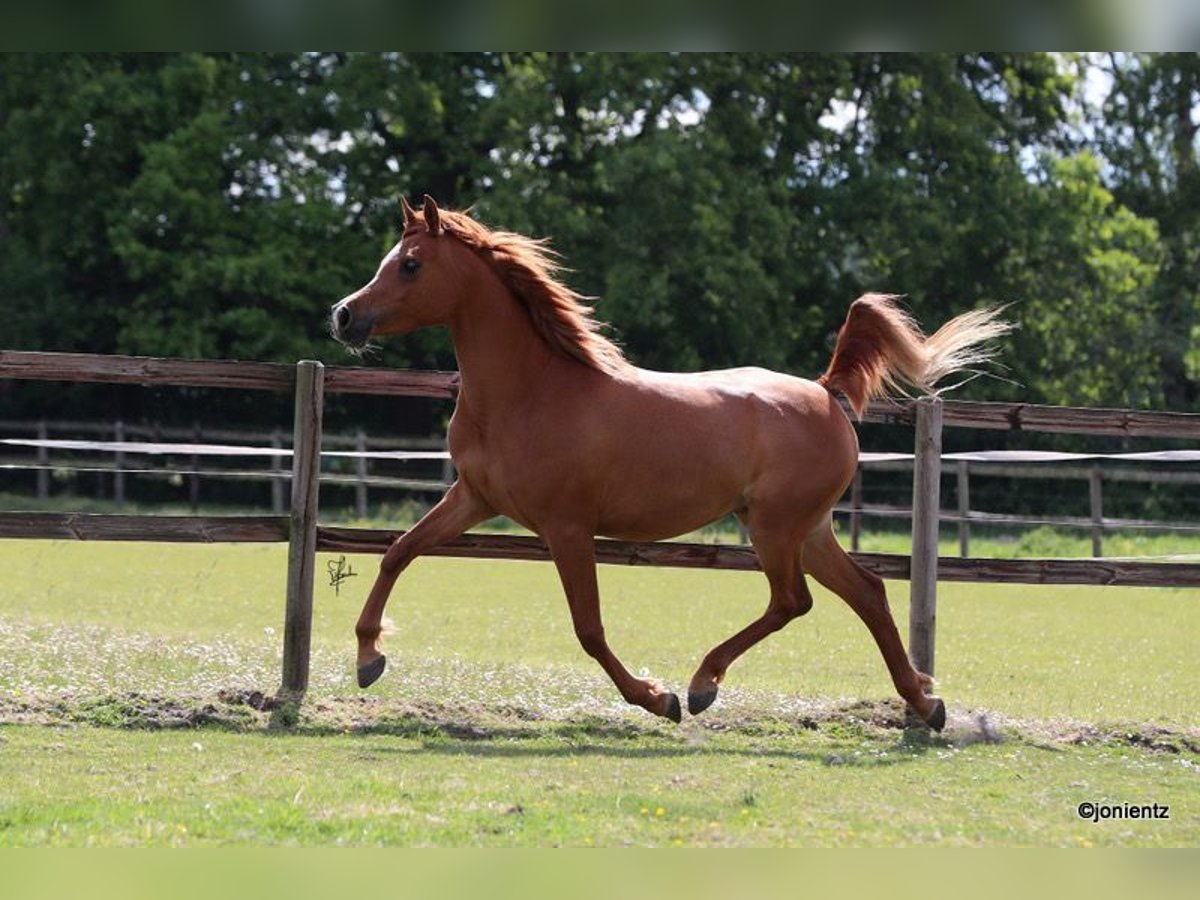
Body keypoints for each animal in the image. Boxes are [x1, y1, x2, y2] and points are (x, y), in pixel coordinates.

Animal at [330, 195, 1009, 731]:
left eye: (411, 264)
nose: (343, 315)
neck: (531, 391)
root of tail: (825, 391)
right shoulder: (475, 497)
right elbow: (398, 551)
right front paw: (369, 658)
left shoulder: (566, 526)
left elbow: (589, 627)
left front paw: (657, 699)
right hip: (807, 528)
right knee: (866, 592)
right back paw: (926, 703)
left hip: (776, 528)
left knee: (793, 601)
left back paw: (703, 684)